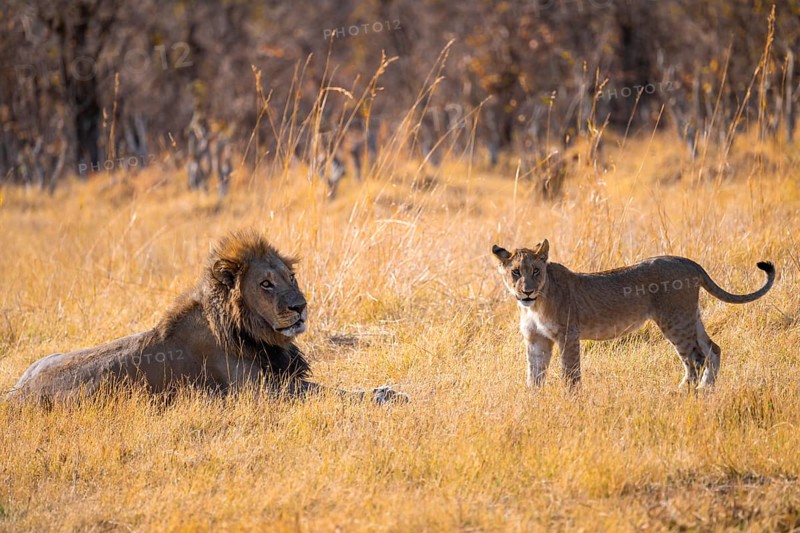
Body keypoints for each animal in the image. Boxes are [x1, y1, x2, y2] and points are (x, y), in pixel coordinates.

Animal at [7, 230, 406, 404]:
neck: (255, 333)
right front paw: (387, 393)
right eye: (265, 283)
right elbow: (332, 393)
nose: (300, 306)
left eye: (291, 277)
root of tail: (14, 396)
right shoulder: (263, 393)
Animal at [492, 240, 775, 390]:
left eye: (536, 270)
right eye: (516, 272)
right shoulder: (536, 340)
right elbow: (534, 376)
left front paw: (570, 404)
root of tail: (688, 261)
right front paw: (534, 403)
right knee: (713, 349)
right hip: (690, 316)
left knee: (695, 358)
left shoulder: (568, 335)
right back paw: (706, 390)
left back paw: (683, 393)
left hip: (673, 320)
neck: (535, 305)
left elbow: (570, 374)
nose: (527, 291)